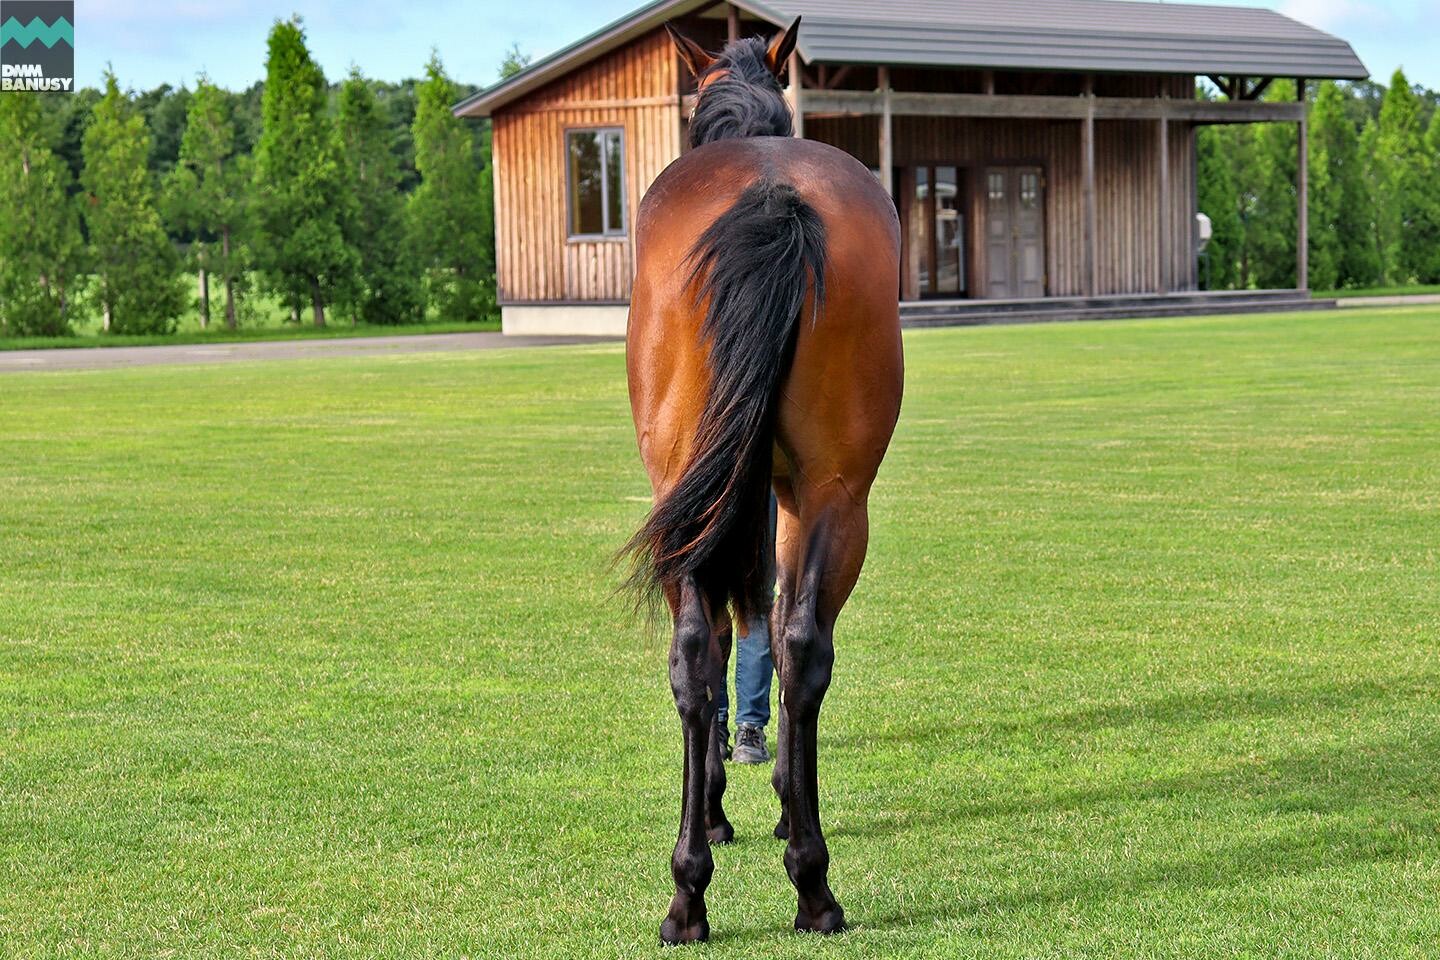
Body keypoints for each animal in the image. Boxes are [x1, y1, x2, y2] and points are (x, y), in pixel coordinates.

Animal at [624, 16, 904, 944]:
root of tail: (773, 195)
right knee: (799, 645)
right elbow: (772, 629)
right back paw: (806, 885)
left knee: (704, 652)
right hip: (834, 494)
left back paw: (698, 886)